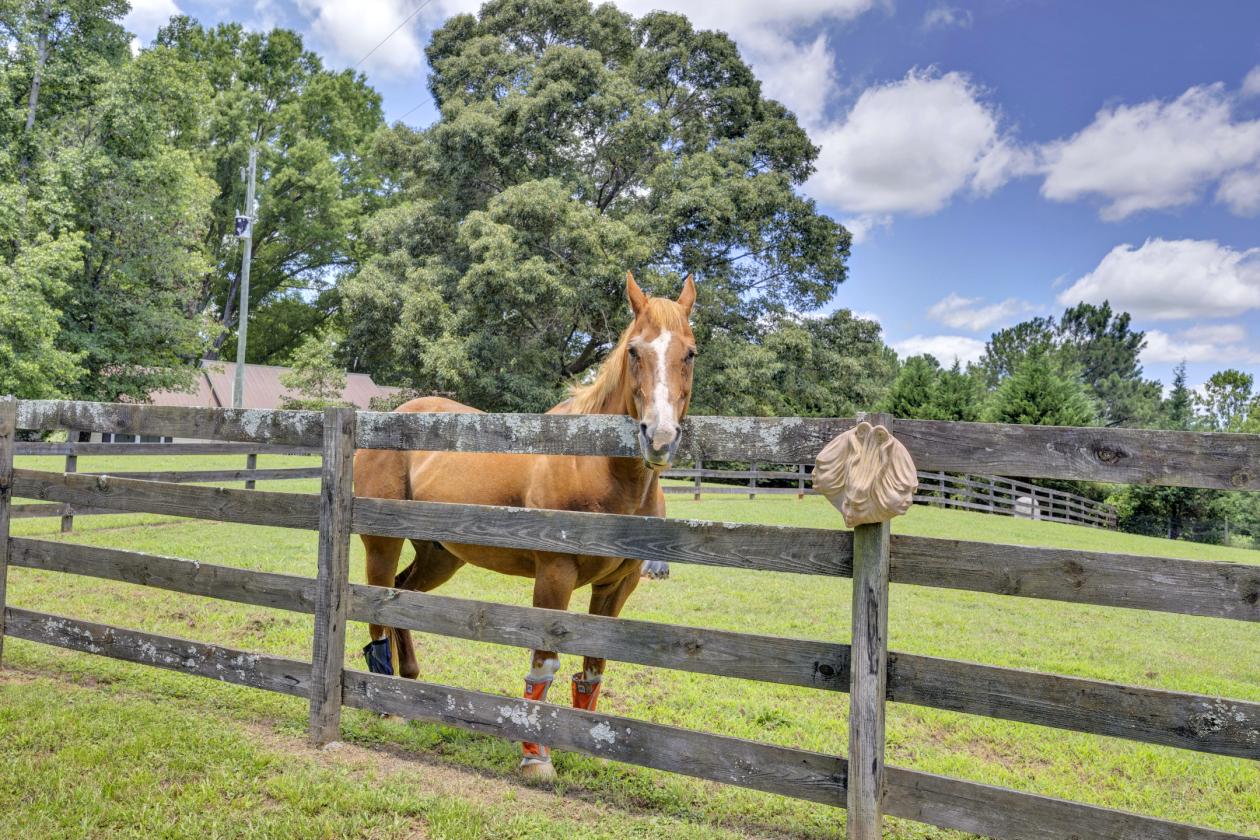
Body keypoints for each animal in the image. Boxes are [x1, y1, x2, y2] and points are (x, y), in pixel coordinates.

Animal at [353, 271, 697, 780]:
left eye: (689, 352)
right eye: (635, 350)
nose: (659, 437)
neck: (596, 466)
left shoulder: (618, 586)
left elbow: (594, 667)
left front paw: (587, 743)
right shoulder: (554, 576)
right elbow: (544, 665)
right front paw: (536, 754)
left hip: (439, 556)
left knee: (403, 599)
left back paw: (408, 683)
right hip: (382, 543)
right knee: (378, 606)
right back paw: (386, 704)